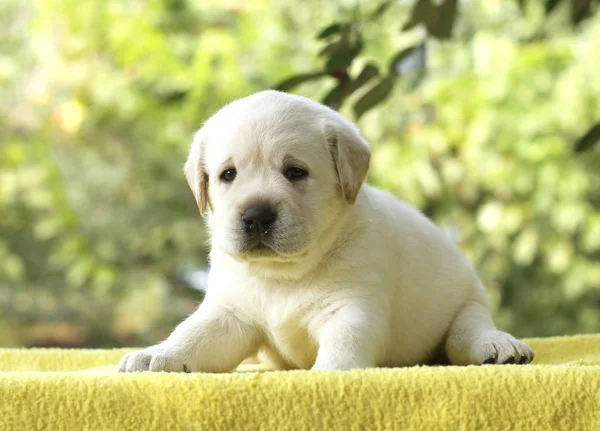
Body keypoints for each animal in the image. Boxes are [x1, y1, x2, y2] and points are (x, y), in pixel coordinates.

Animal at [118, 91, 536, 374]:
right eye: (228, 174)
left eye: (295, 171)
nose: (256, 215)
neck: (283, 275)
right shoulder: (229, 313)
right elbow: (193, 334)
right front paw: (158, 354)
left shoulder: (352, 307)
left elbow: (345, 343)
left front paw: (329, 374)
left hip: (468, 304)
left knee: (467, 333)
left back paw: (500, 344)